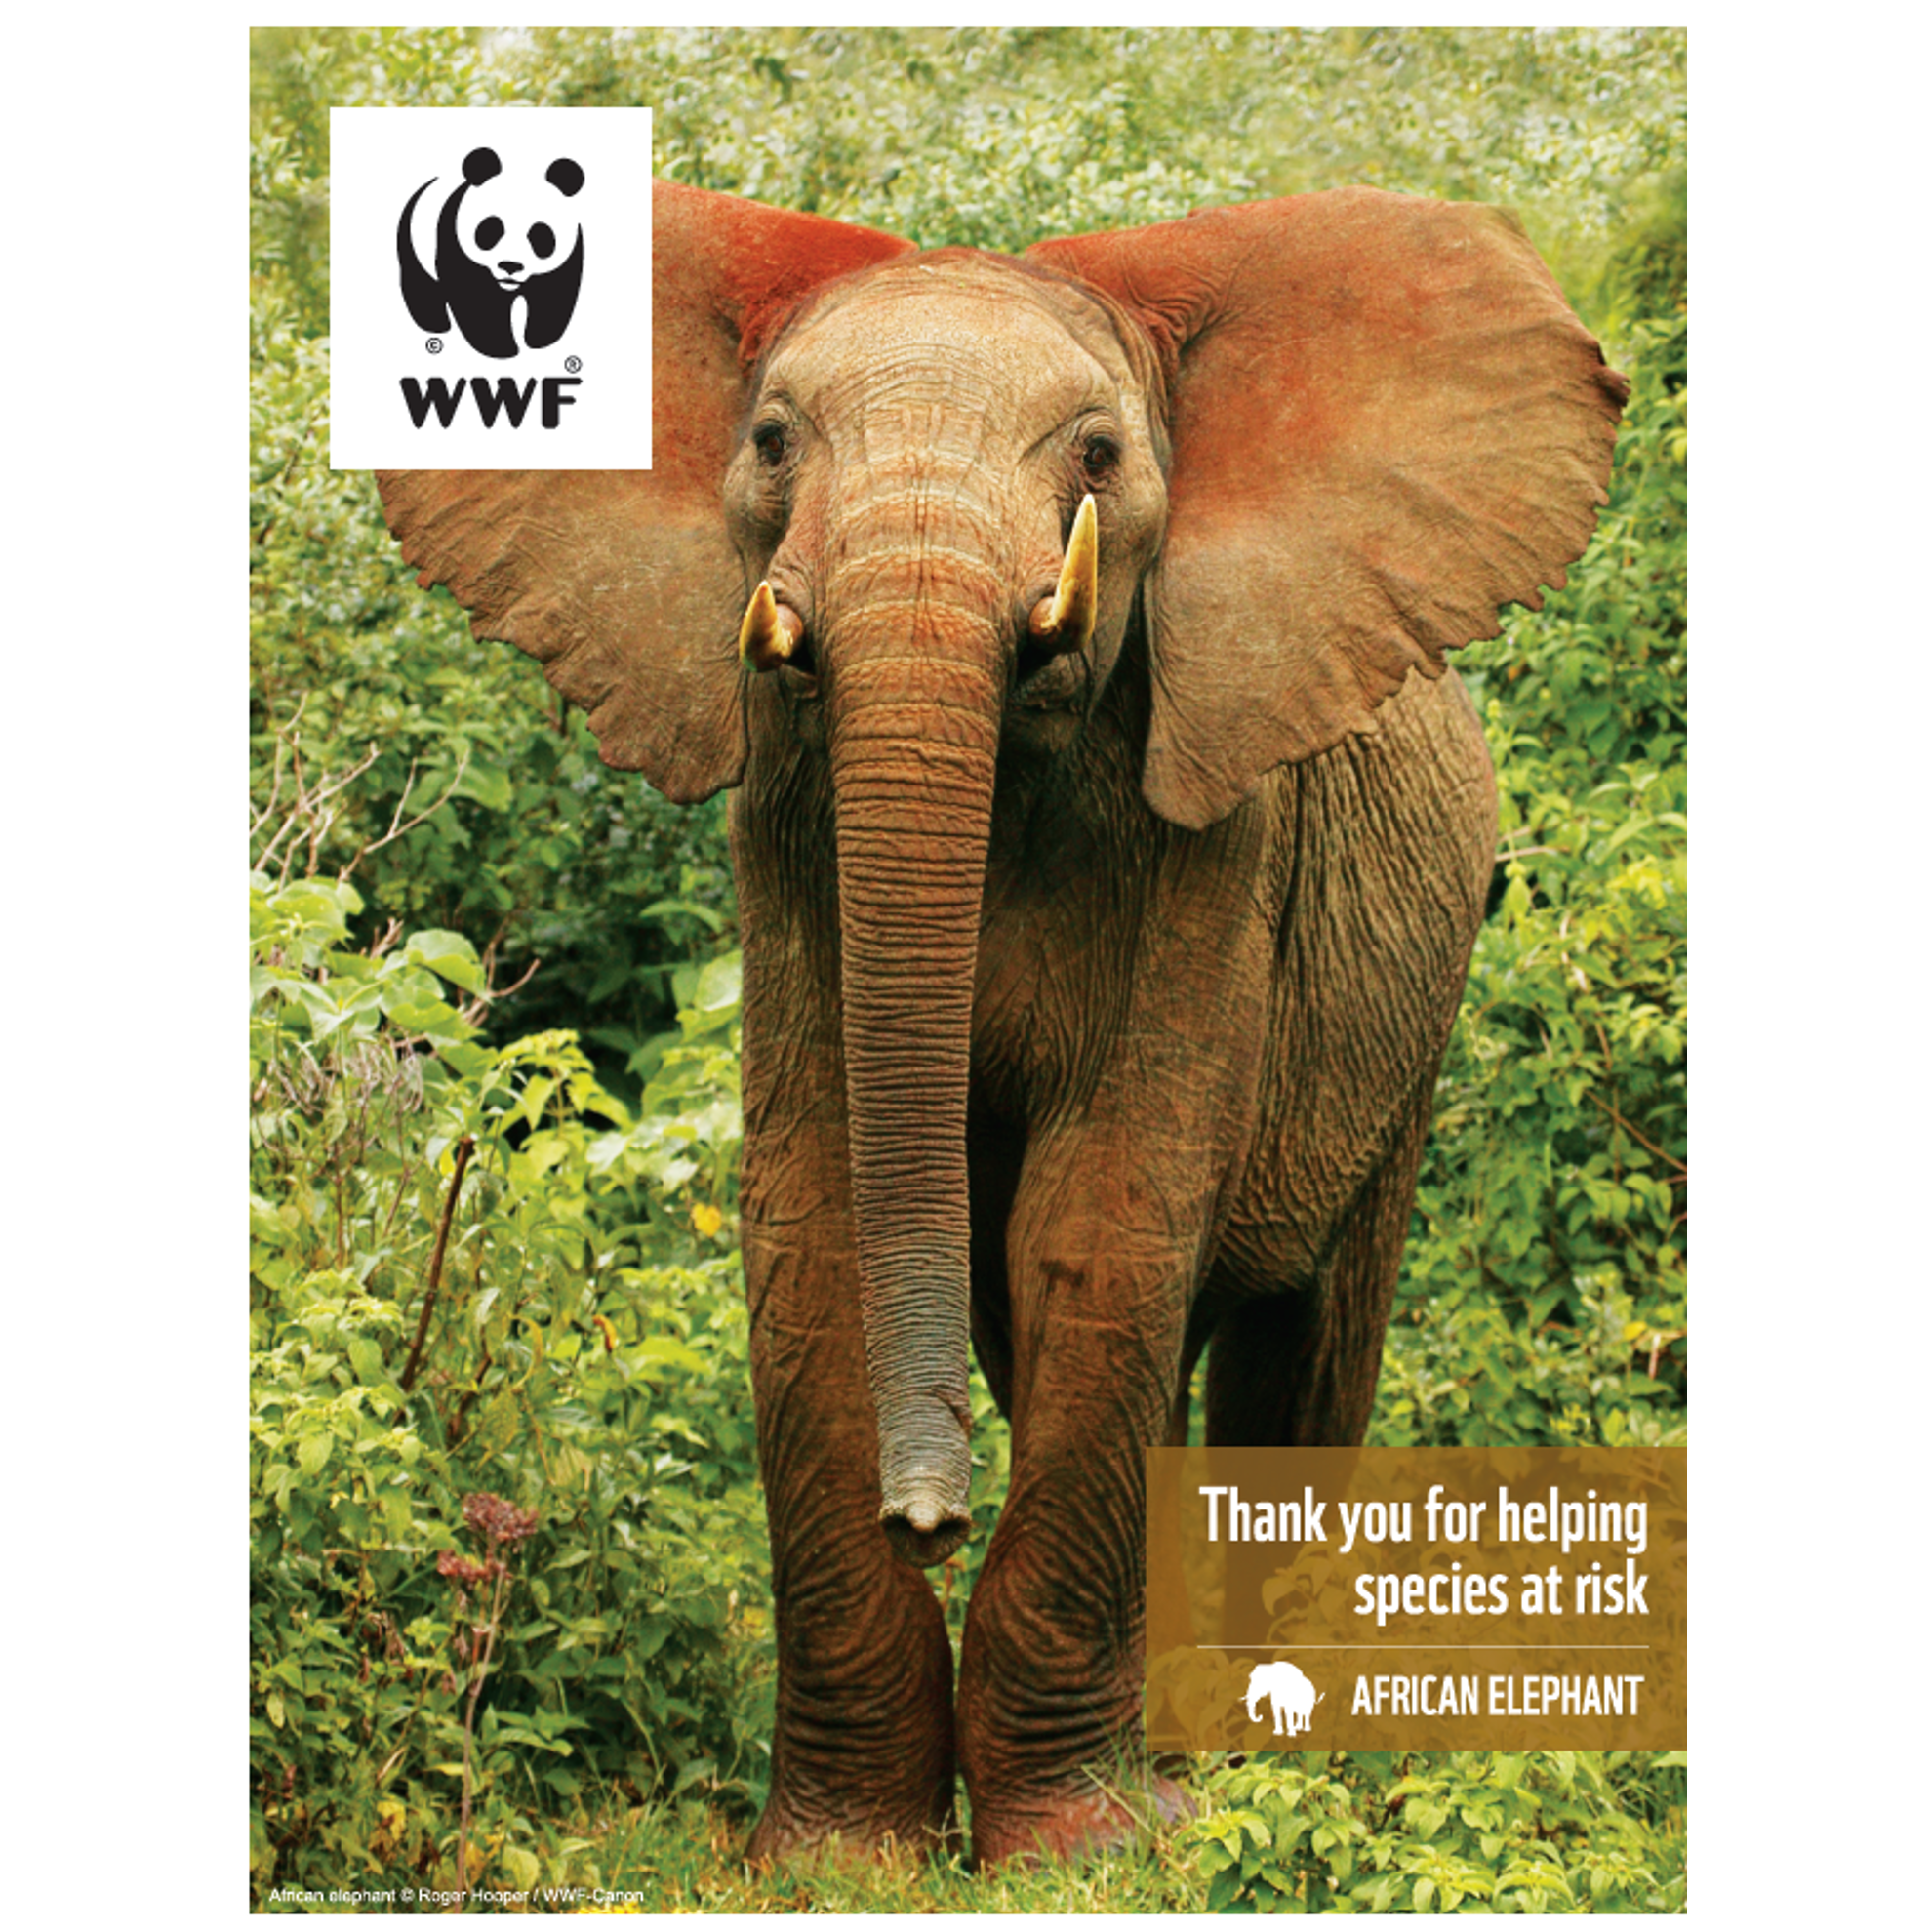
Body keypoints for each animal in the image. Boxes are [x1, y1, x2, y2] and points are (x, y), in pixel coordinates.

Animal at [377, 179, 1623, 1866]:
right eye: (772, 439)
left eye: (1097, 456)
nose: (931, 1517)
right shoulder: (789, 823)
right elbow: (821, 1222)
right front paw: (841, 1861)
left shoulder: (1211, 839)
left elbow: (1102, 1217)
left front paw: (1099, 1851)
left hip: (1415, 1010)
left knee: (1301, 1347)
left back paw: (1255, 1772)